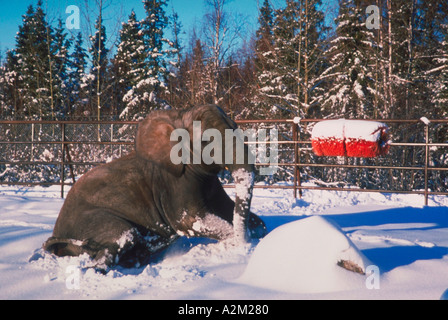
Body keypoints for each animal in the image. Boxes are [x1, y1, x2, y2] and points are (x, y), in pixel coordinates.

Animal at [43, 105, 266, 270]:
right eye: (205, 140)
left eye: (236, 127)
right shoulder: (174, 183)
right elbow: (190, 221)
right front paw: (241, 243)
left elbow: (238, 215)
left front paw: (256, 234)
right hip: (88, 220)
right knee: (124, 235)